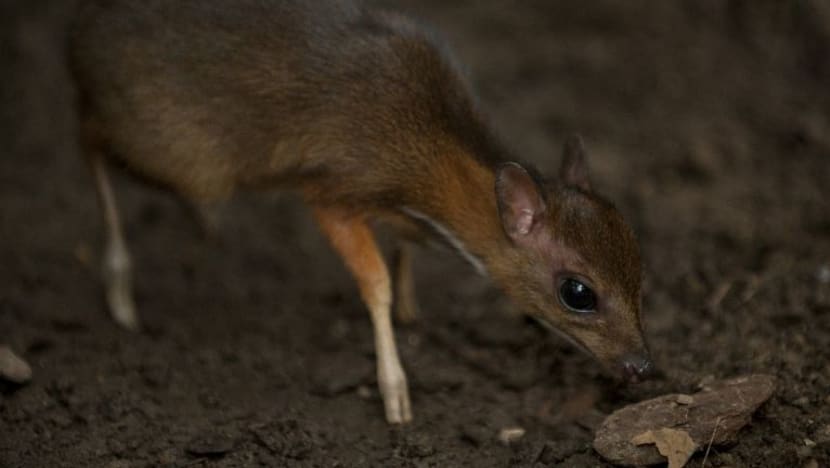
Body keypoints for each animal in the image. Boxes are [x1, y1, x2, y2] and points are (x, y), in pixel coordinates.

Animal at [70, 0, 656, 424]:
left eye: (638, 264)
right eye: (577, 292)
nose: (643, 366)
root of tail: (80, 37)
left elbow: (401, 256)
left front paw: (413, 312)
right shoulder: (331, 194)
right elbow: (375, 285)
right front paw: (396, 393)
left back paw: (202, 224)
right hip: (175, 149)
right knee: (88, 137)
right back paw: (119, 283)